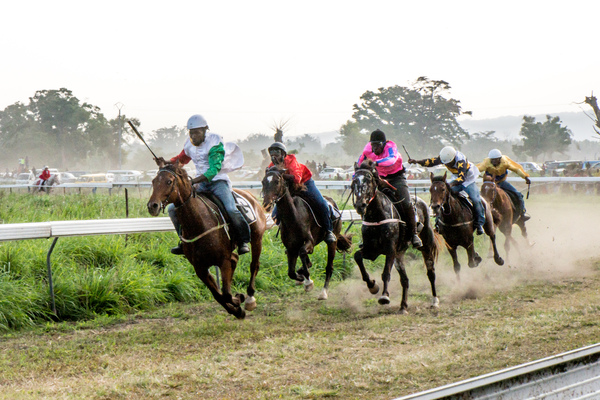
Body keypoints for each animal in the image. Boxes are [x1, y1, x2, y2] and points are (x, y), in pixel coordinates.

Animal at [146, 159, 266, 318]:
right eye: (153, 181)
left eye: (169, 181)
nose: (152, 206)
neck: (199, 224)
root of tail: (250, 195)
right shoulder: (200, 268)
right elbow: (219, 295)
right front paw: (236, 309)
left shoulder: (222, 261)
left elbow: (226, 294)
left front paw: (239, 300)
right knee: (235, 259)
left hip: (257, 238)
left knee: (254, 265)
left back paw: (250, 298)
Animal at [258, 166, 352, 300]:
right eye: (263, 182)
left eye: (276, 181)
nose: (267, 203)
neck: (293, 216)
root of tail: (333, 204)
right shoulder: (291, 247)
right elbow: (291, 272)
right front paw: (301, 277)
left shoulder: (309, 242)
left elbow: (302, 253)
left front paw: (308, 282)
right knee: (307, 262)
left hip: (332, 240)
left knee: (329, 266)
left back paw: (323, 292)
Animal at [350, 160, 442, 312]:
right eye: (354, 182)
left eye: (368, 180)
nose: (360, 205)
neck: (377, 216)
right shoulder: (371, 250)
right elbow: (357, 256)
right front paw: (372, 286)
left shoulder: (390, 249)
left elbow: (386, 272)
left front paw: (384, 296)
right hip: (399, 255)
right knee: (405, 280)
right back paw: (403, 306)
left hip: (426, 245)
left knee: (431, 272)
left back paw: (435, 300)